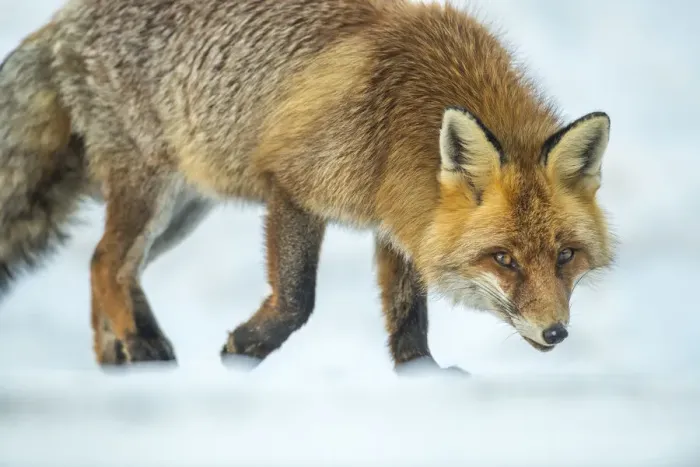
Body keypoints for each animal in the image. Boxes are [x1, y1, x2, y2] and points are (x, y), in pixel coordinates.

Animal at [0, 0, 614, 373]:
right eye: (503, 259)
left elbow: (407, 314)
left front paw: (421, 377)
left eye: (565, 255)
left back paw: (120, 359)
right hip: (150, 188)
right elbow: (297, 298)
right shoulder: (294, 185)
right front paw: (245, 349)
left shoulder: (402, 219)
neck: (396, 117)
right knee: (107, 261)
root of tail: (66, 19)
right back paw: (137, 347)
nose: (556, 333)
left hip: (183, 210)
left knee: (110, 266)